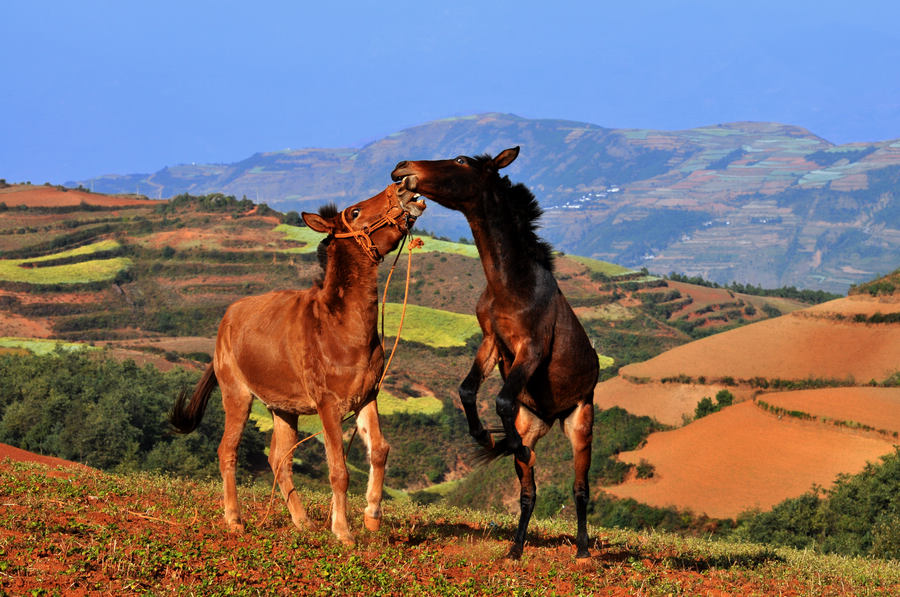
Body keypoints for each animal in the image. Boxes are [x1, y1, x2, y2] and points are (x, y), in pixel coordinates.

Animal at [171, 182, 426, 544]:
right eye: (355, 211)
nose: (403, 187)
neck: (340, 327)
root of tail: (227, 318)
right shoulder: (327, 405)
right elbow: (338, 470)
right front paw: (343, 531)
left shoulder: (367, 397)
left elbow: (379, 450)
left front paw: (372, 515)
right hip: (237, 395)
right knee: (227, 451)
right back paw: (234, 519)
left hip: (283, 408)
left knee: (279, 458)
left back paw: (302, 520)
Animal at [392, 148, 596, 560]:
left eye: (461, 160)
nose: (402, 168)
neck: (512, 284)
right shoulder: (490, 342)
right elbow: (468, 390)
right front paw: (485, 437)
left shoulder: (531, 350)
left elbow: (501, 398)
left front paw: (498, 438)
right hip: (533, 423)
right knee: (528, 492)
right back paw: (515, 549)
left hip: (581, 423)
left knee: (580, 490)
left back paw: (583, 551)